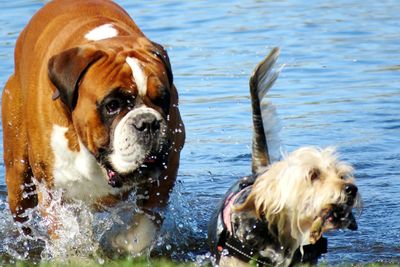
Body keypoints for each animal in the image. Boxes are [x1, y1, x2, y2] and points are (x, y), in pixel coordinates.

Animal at [1, 0, 185, 255]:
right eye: (112, 105)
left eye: (163, 99)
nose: (147, 122)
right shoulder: (52, 192)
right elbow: (66, 235)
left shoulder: (167, 170)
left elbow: (146, 226)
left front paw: (123, 242)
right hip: (17, 177)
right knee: (22, 216)